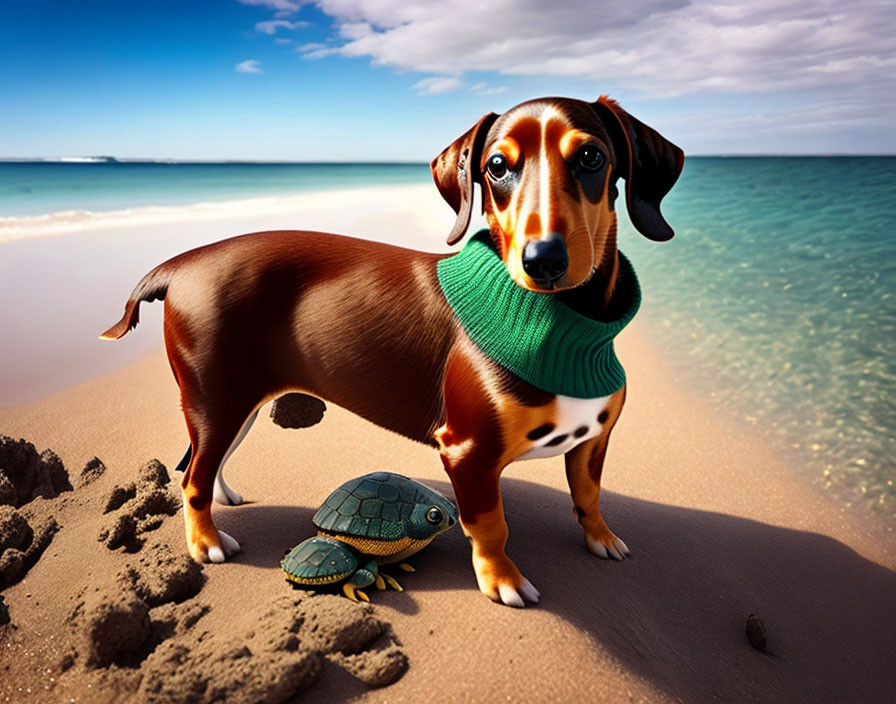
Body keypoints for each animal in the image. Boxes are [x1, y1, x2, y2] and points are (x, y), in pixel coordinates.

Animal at [101, 96, 684, 608]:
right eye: (496, 166)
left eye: (591, 157)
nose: (543, 260)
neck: (565, 325)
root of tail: (179, 264)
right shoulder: (468, 451)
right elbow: (491, 525)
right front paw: (503, 580)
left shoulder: (594, 440)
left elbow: (588, 495)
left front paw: (601, 538)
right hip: (217, 398)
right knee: (192, 478)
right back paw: (207, 542)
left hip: (233, 402)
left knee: (203, 462)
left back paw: (225, 499)